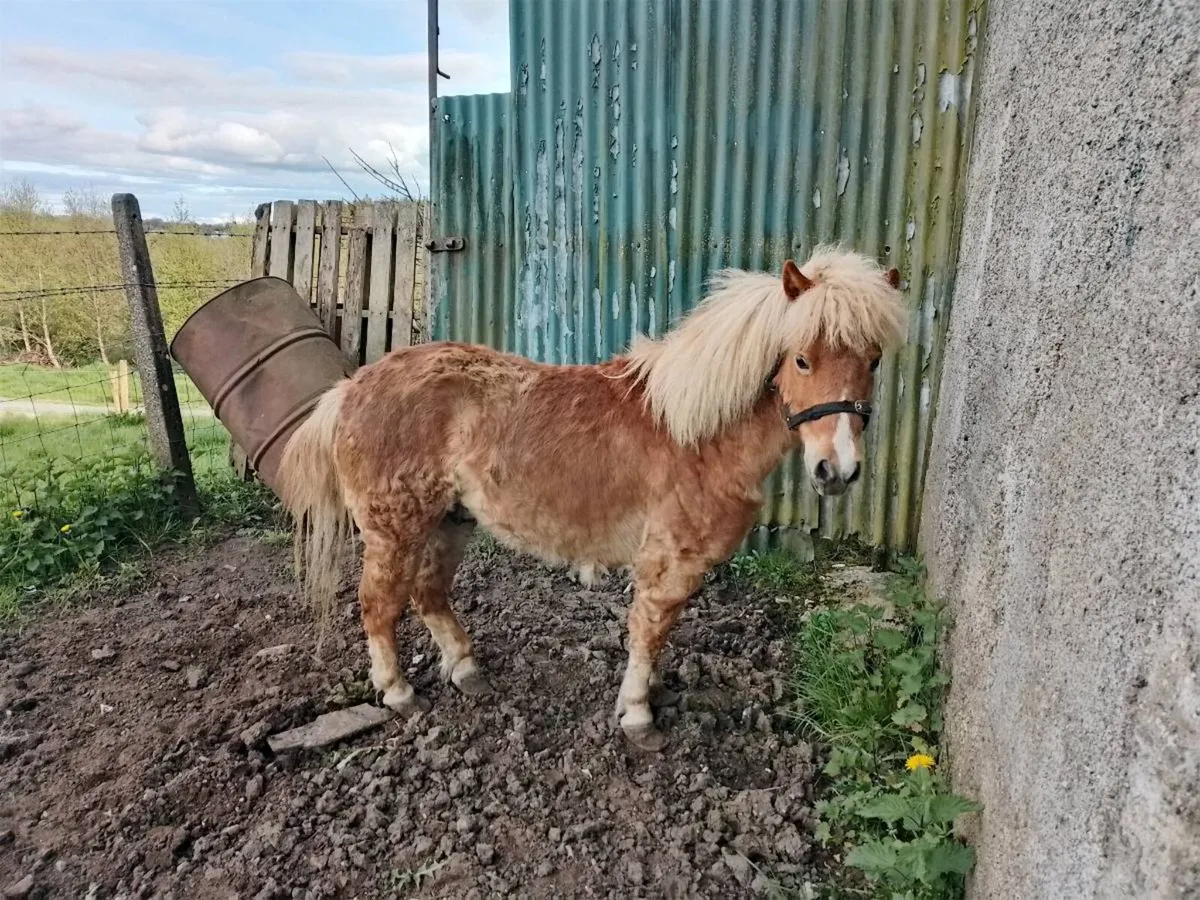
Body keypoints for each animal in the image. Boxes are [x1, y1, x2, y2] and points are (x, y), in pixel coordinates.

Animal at [277, 245, 906, 751]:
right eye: (801, 358)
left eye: (874, 360)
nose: (837, 470)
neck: (695, 433)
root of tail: (353, 387)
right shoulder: (670, 560)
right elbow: (649, 629)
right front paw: (638, 714)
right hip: (394, 530)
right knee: (377, 606)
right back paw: (399, 693)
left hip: (449, 521)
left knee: (428, 594)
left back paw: (468, 670)